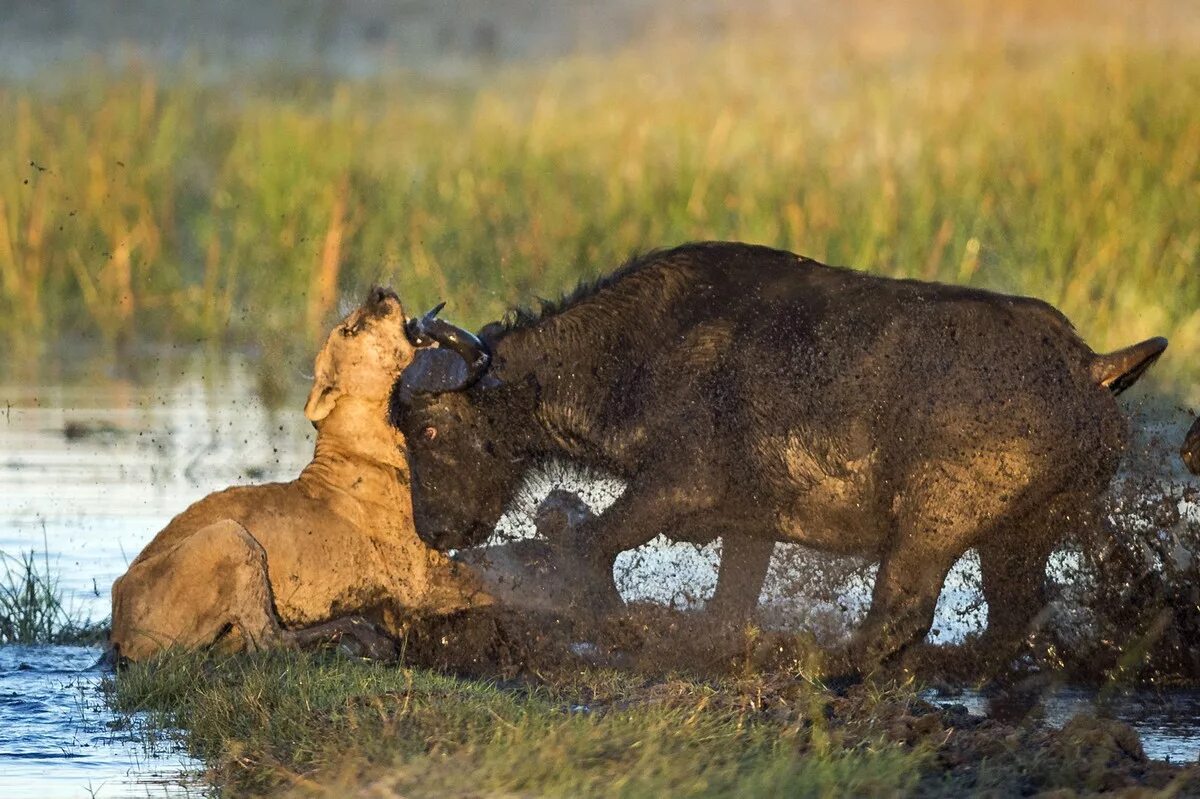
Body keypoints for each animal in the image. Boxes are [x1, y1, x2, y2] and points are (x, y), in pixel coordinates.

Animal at [388, 239, 1166, 667]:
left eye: (429, 432)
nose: (435, 530)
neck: (645, 349)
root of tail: (1086, 365)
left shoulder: (675, 489)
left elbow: (587, 543)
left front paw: (618, 626)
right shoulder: (749, 524)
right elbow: (727, 603)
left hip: (934, 525)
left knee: (902, 611)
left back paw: (828, 665)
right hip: (1026, 533)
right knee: (1011, 618)